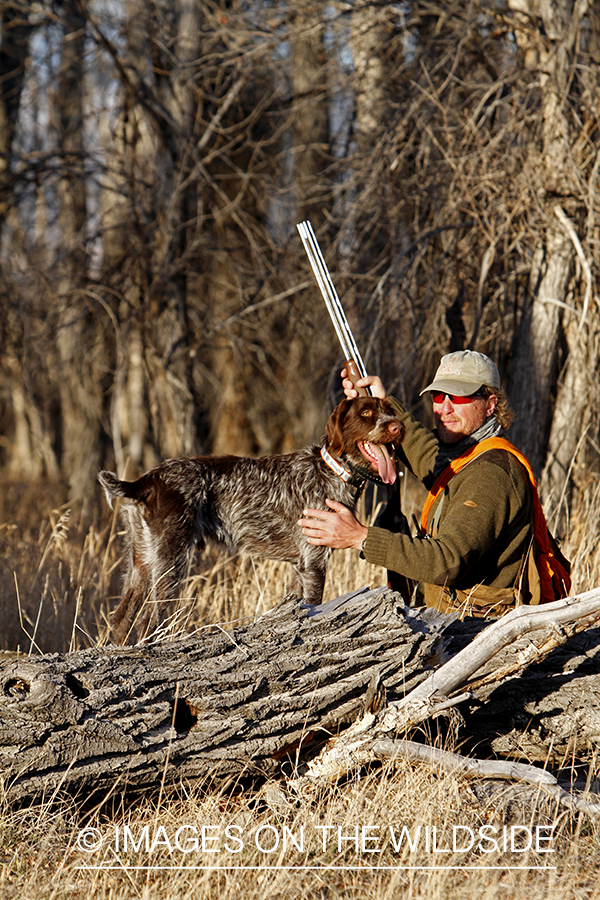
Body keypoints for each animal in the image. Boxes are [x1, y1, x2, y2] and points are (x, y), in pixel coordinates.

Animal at [99, 398, 404, 644]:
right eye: (366, 412)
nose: (398, 427)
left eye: (389, 411)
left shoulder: (300, 567)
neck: (332, 471)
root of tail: (147, 480)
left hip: (142, 560)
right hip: (170, 560)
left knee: (122, 618)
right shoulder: (314, 563)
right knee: (147, 620)